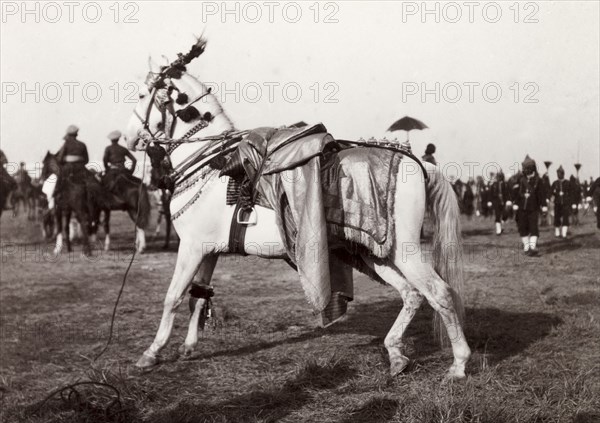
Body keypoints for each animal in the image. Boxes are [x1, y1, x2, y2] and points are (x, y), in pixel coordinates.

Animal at [124, 42, 472, 380]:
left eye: (142, 95)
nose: (129, 139)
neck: (212, 165)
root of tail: (418, 163)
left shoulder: (192, 247)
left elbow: (173, 297)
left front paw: (151, 353)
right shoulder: (208, 250)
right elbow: (198, 296)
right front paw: (188, 347)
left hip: (403, 250)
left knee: (439, 292)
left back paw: (458, 364)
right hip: (375, 252)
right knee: (412, 294)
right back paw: (396, 354)